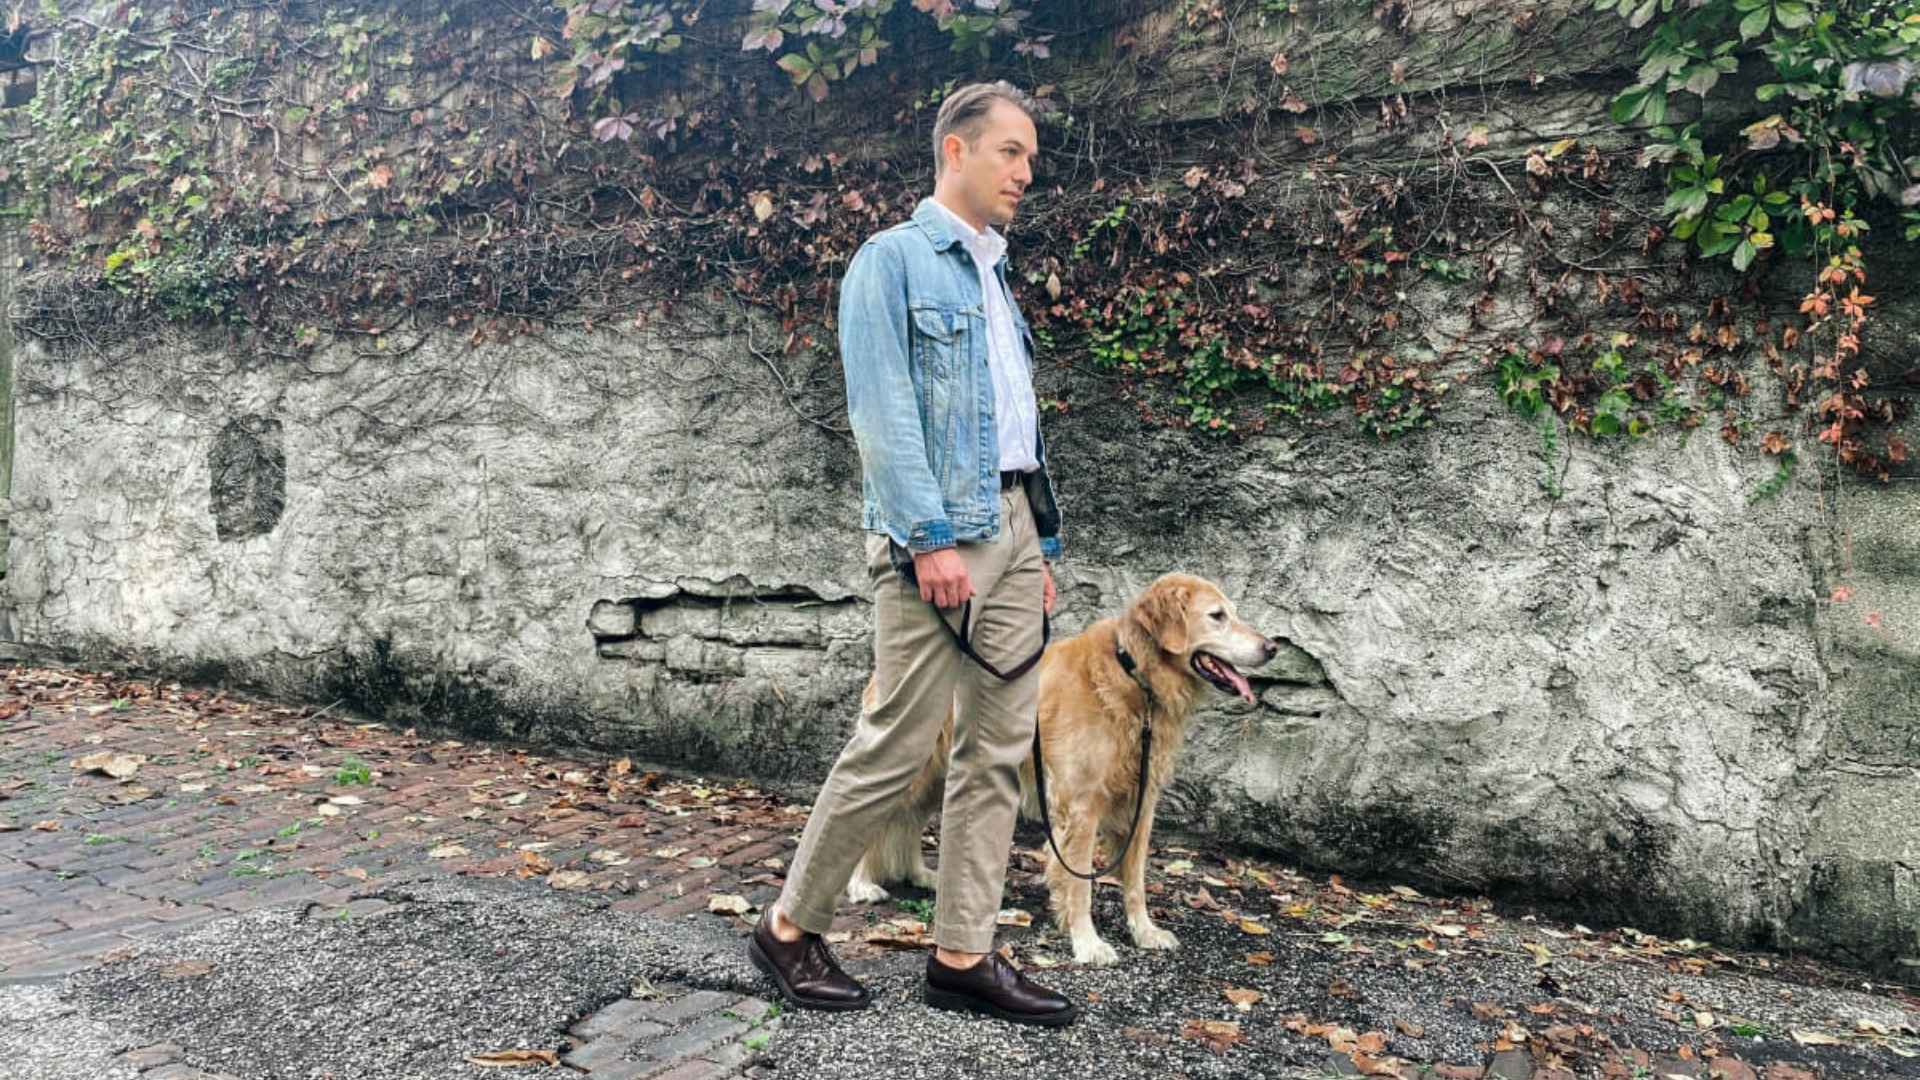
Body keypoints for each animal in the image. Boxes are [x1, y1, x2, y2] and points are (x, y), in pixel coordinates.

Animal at [848, 576, 1282, 960]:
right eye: (1217, 616)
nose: (1272, 647)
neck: (1132, 675)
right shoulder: (1082, 805)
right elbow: (1080, 885)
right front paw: (1088, 943)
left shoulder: (1142, 804)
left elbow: (1136, 881)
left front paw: (1145, 932)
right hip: (911, 766)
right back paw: (860, 884)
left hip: (936, 777)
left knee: (907, 822)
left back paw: (922, 875)